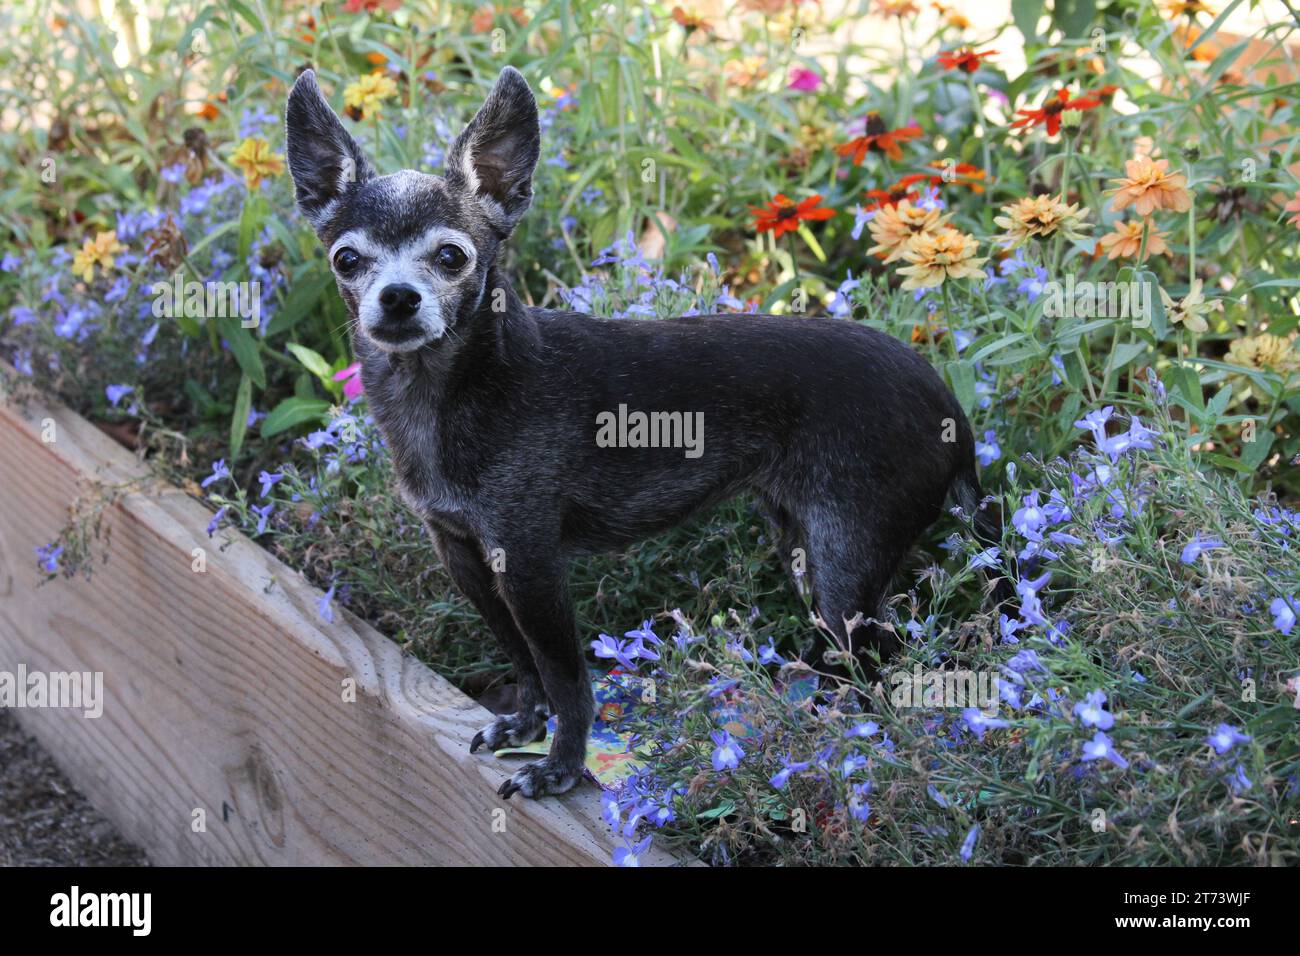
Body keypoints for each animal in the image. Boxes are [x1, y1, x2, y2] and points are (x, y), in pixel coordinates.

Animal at [287, 69, 1003, 801]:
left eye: (451, 256)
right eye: (348, 260)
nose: (398, 297)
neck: (446, 388)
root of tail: (950, 408)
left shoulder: (530, 565)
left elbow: (568, 678)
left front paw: (561, 765)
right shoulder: (464, 555)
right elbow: (520, 656)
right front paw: (524, 721)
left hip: (846, 563)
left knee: (880, 671)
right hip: (805, 545)